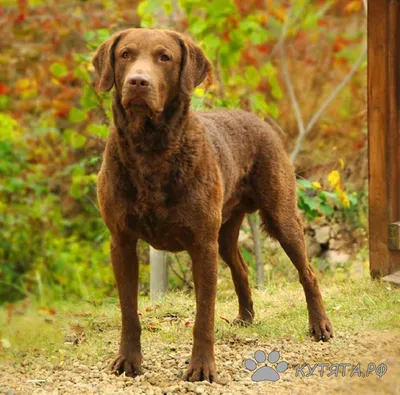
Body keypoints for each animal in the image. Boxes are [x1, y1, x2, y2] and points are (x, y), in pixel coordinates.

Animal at [94, 27, 334, 384]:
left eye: (164, 57)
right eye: (125, 54)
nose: (138, 82)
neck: (151, 152)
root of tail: (256, 119)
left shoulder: (202, 245)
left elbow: (204, 317)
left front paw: (202, 368)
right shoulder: (121, 241)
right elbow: (128, 313)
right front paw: (128, 361)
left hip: (281, 216)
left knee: (308, 273)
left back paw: (320, 326)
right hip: (225, 231)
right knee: (242, 268)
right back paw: (246, 318)